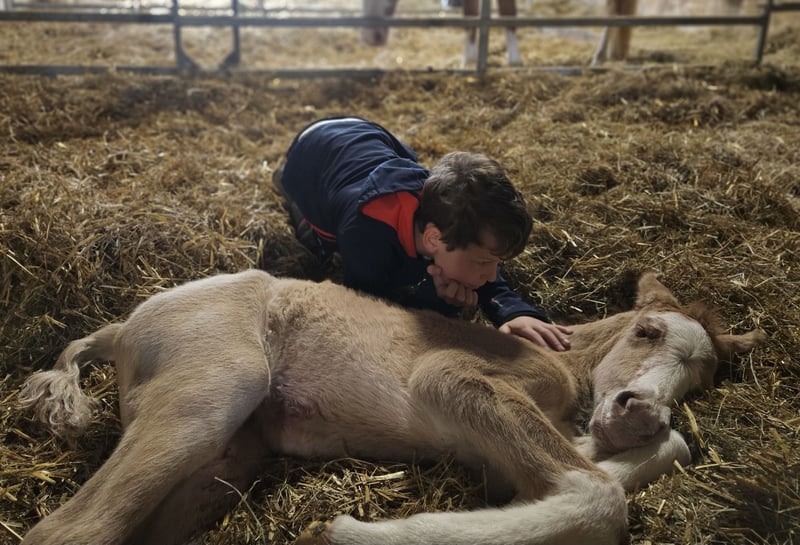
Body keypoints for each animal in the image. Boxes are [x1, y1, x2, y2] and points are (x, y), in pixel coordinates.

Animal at [18, 270, 764, 545]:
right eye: (648, 330)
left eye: (700, 381)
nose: (641, 411)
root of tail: (123, 326)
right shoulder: (452, 380)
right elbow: (596, 491)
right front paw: (349, 529)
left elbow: (650, 454)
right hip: (210, 389)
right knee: (65, 529)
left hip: (227, 458)